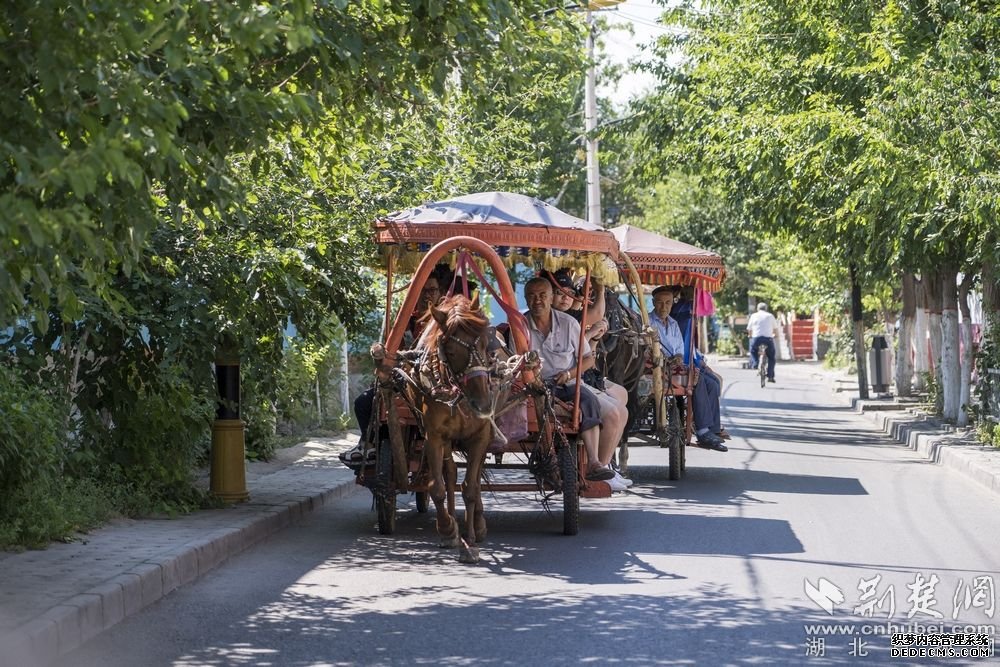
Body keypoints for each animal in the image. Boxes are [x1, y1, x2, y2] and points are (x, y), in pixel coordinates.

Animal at [412, 294, 494, 560]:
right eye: (450, 351)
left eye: (484, 345)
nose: (483, 405)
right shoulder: (435, 437)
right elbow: (436, 487)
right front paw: (448, 531)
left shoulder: (480, 436)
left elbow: (471, 487)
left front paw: (472, 540)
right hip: (447, 441)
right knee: (449, 475)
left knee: (474, 478)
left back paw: (477, 523)